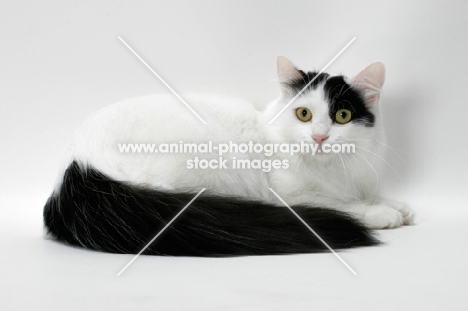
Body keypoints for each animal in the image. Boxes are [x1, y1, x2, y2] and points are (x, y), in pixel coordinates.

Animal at [44, 57, 414, 258]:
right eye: (304, 114)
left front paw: (398, 205)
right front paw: (382, 213)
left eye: (342, 116)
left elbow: (364, 195)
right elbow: (343, 204)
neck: (331, 170)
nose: (320, 137)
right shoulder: (290, 195)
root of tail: (77, 164)